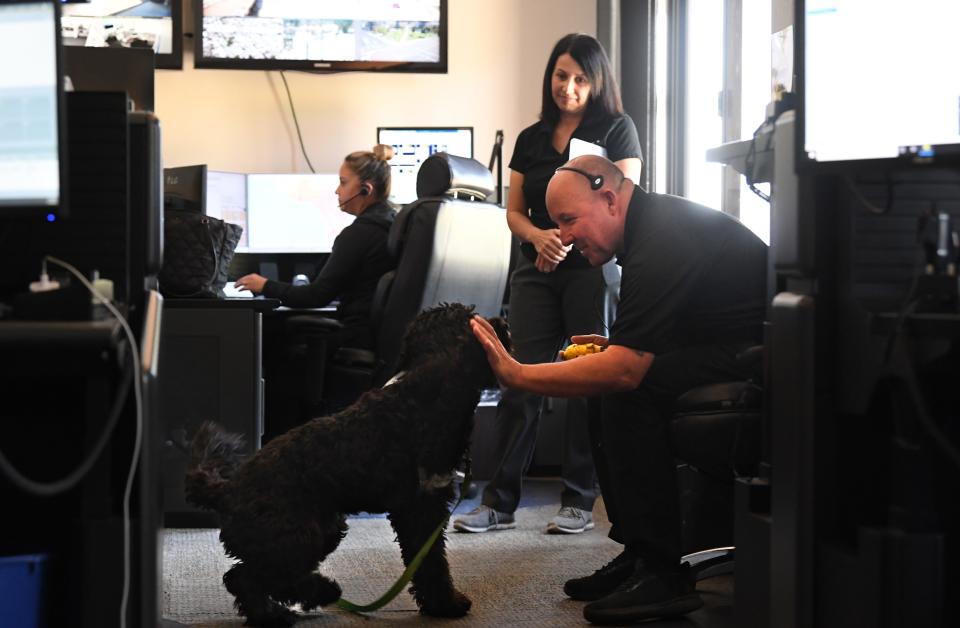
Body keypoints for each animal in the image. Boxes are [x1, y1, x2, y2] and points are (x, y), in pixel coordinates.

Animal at [182, 302, 510, 624]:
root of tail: (228, 489)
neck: (420, 399)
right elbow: (430, 563)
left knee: (256, 576)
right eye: (473, 320)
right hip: (296, 535)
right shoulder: (419, 510)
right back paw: (304, 599)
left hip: (321, 529)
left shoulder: (427, 507)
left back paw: (287, 606)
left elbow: (431, 560)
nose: (504, 323)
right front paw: (446, 605)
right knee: (247, 577)